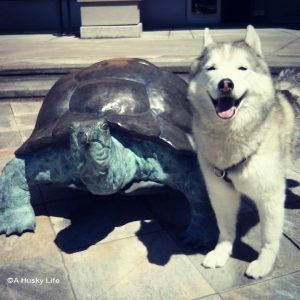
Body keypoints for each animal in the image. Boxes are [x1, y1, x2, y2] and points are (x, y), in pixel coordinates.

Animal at [189, 25, 298, 278]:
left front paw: (264, 263)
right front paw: (221, 252)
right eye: (212, 68)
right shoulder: (220, 190)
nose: (225, 84)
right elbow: (225, 227)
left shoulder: (270, 195)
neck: (231, 136)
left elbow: (269, 236)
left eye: (242, 68)